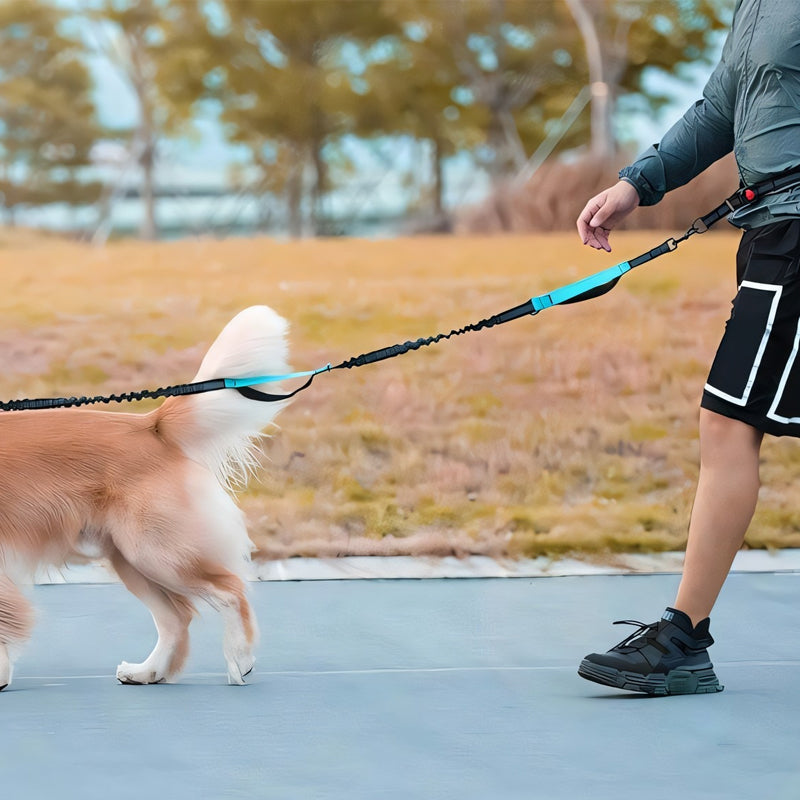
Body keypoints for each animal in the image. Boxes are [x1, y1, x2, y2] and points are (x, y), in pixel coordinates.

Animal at [0, 304, 290, 692]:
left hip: (155, 552)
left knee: (229, 591)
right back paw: (148, 671)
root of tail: (150, 426)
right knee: (176, 618)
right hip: (130, 559)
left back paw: (239, 659)